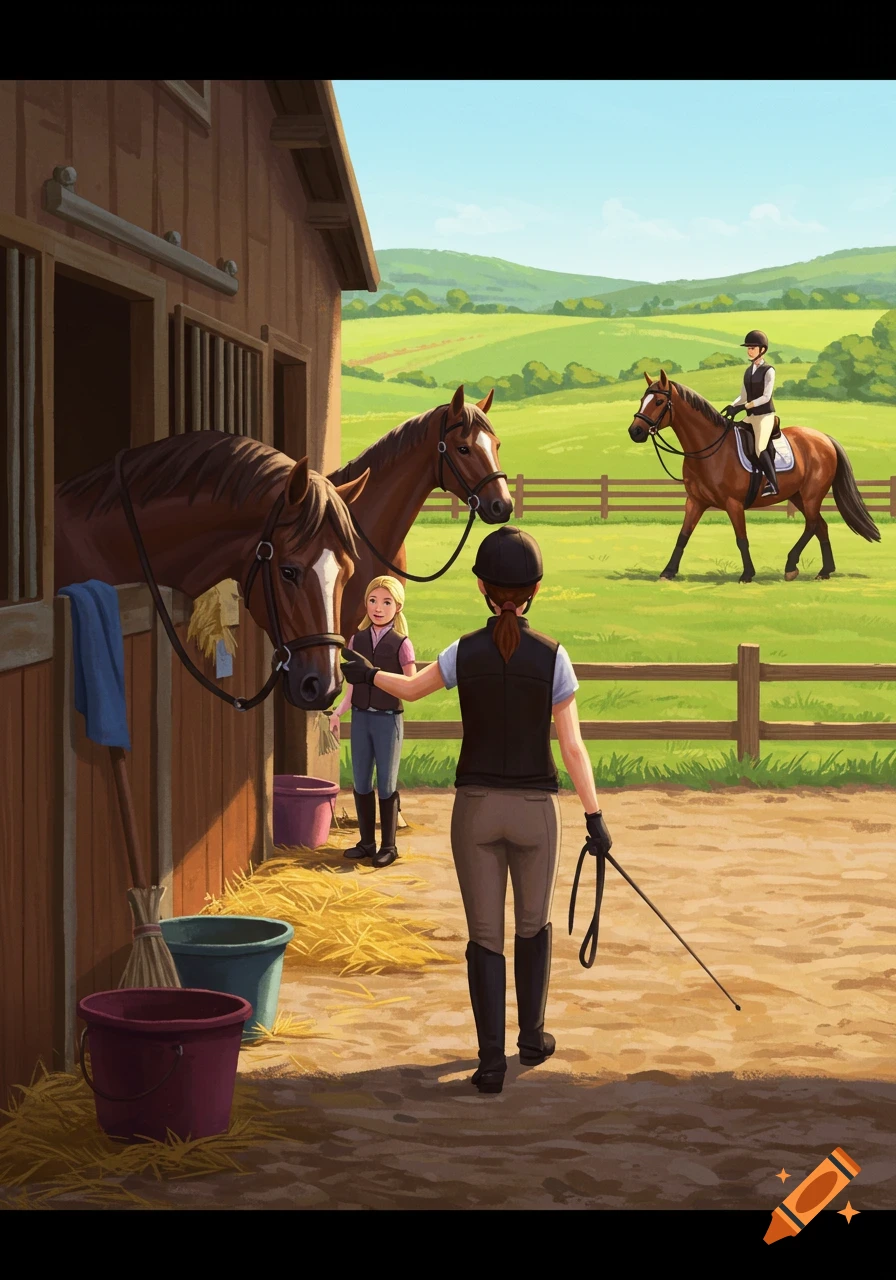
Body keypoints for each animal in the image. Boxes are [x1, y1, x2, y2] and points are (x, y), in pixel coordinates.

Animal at [627, 369, 880, 583]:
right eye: (642, 400)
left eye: (659, 402)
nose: (635, 431)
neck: (710, 449)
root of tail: (824, 438)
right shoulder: (695, 501)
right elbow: (683, 535)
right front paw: (668, 572)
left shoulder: (734, 503)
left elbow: (741, 539)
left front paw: (747, 574)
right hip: (797, 495)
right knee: (821, 526)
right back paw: (825, 571)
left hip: (811, 494)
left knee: (812, 524)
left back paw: (791, 566)